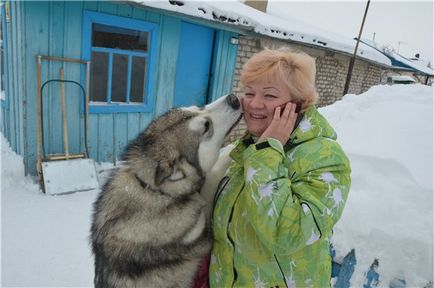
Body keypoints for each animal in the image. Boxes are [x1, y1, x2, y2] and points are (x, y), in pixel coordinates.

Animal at [90, 94, 242, 288]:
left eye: (198, 107)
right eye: (206, 126)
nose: (234, 98)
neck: (150, 188)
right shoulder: (201, 229)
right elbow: (212, 177)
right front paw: (233, 148)